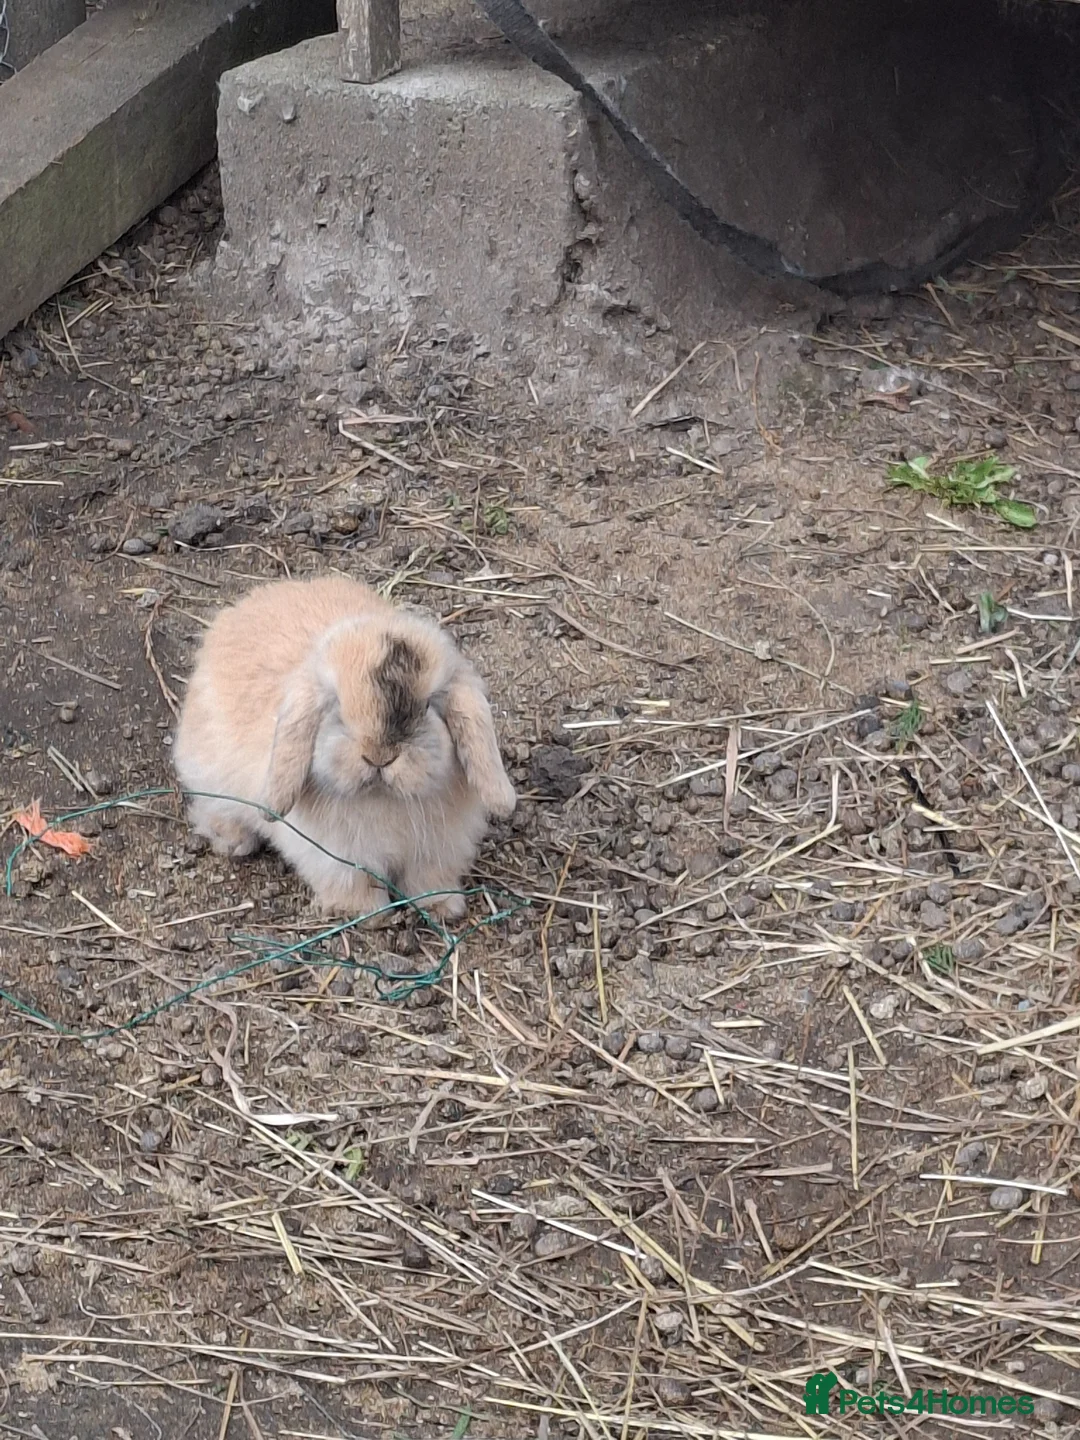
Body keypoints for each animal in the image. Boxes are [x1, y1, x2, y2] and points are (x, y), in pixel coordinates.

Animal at [172, 575, 516, 920]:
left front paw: (443, 907)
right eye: (336, 704)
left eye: (428, 705)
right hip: (212, 778)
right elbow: (352, 882)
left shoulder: (438, 850)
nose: (379, 757)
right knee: (210, 809)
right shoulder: (337, 857)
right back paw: (235, 842)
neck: (382, 798)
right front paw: (366, 914)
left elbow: (428, 879)